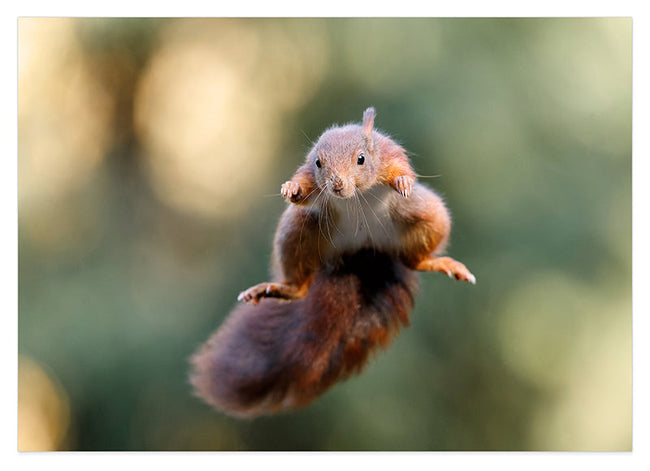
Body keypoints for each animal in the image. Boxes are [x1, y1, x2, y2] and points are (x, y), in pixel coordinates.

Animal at [190, 107, 475, 418]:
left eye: (361, 159)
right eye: (318, 162)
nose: (337, 185)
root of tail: (364, 251)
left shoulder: (388, 153)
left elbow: (401, 166)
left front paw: (403, 181)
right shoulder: (309, 175)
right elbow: (302, 184)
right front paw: (290, 188)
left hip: (428, 217)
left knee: (414, 260)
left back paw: (438, 262)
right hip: (297, 231)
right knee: (300, 286)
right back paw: (279, 288)